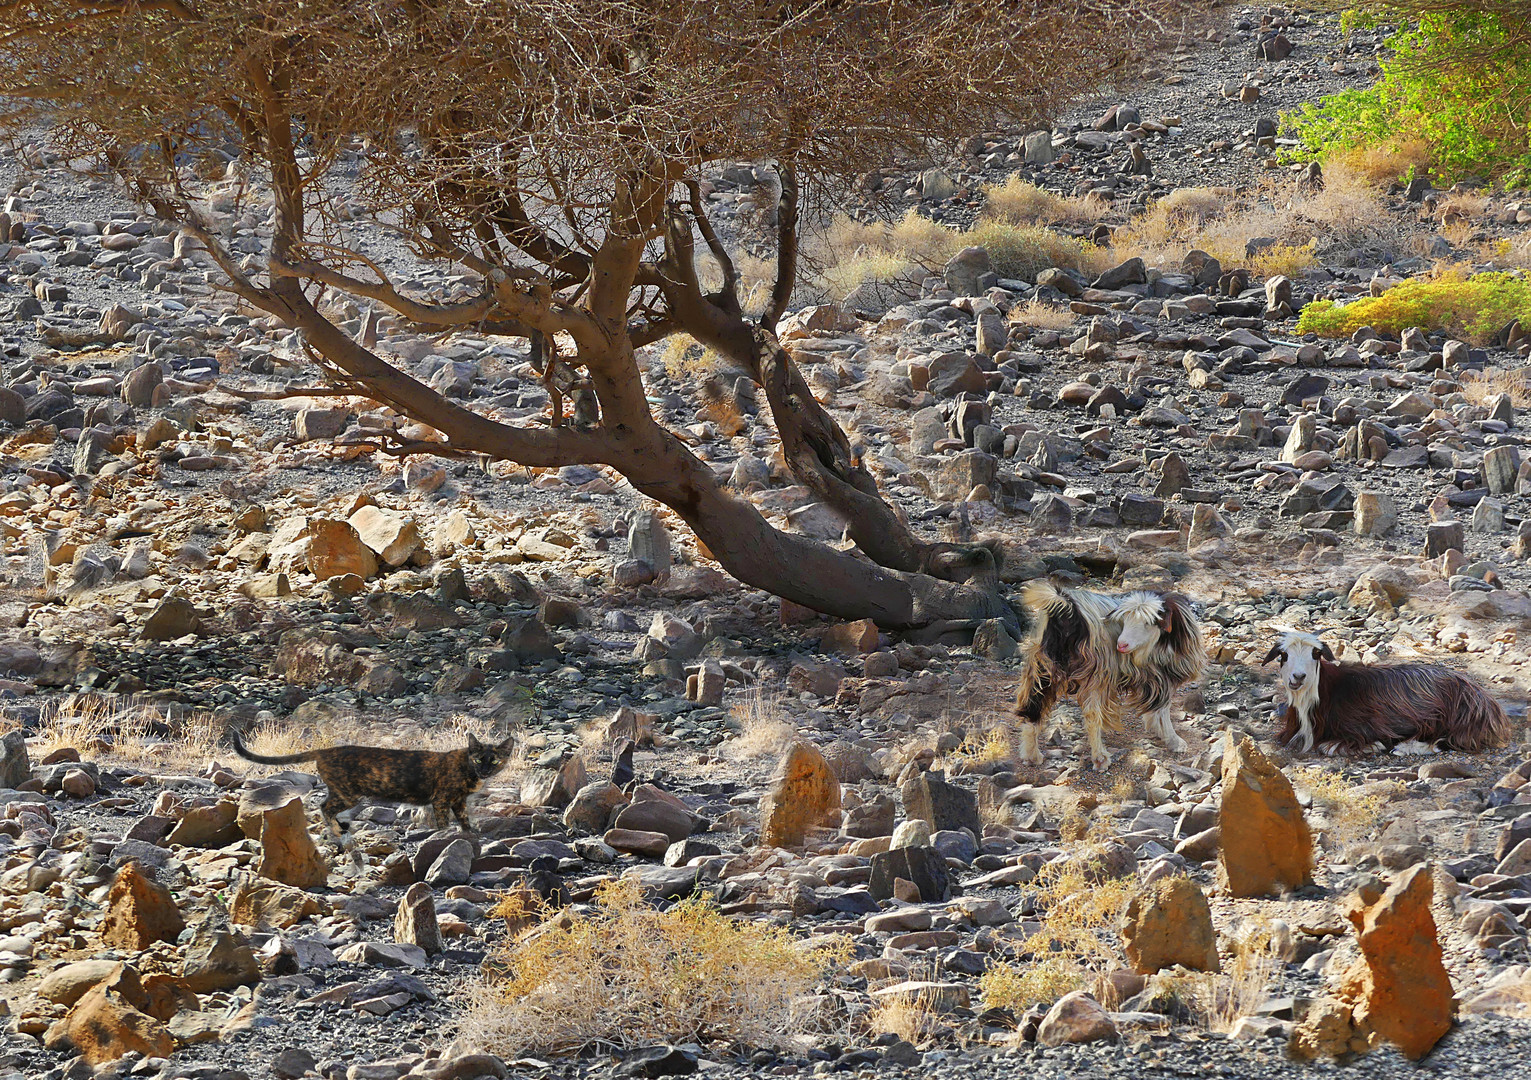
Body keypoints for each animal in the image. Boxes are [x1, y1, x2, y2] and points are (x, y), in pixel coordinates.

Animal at [232, 723, 517, 833]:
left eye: (494, 760)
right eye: (479, 759)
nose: (485, 770)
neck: (470, 772)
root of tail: (326, 750)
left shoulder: (459, 801)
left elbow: (465, 819)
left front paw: (470, 833)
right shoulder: (442, 799)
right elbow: (443, 821)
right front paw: (446, 834)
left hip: (342, 791)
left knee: (325, 804)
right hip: (348, 793)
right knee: (324, 807)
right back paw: (337, 829)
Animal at [1016, 576, 1206, 772]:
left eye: (1149, 622)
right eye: (1125, 621)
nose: (1121, 645)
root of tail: (1065, 609)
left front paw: (1156, 728)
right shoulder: (1160, 675)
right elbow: (1163, 709)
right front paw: (1174, 741)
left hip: (1041, 667)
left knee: (1032, 707)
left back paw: (1031, 755)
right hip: (1097, 672)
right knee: (1091, 714)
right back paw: (1100, 758)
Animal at [1261, 628, 1512, 753]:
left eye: (1316, 654)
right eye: (1284, 655)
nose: (1298, 677)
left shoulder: (1364, 726)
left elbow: (1328, 748)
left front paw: (1376, 746)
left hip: (1452, 720)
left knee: (1449, 741)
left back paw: (1406, 747)